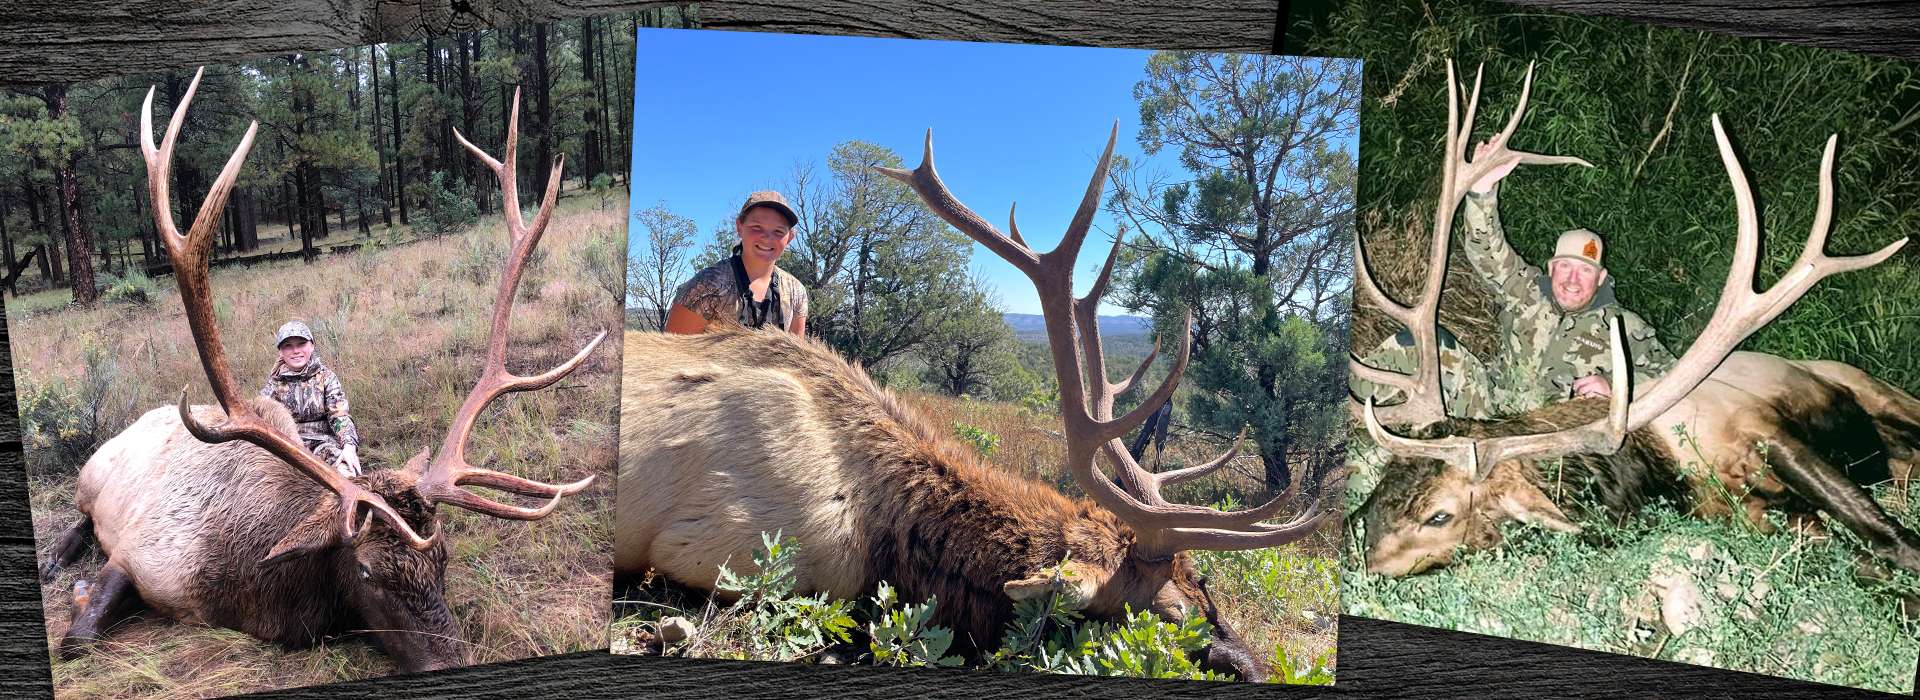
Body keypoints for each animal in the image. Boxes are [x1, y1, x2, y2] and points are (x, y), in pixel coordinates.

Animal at [39, 66, 606, 671]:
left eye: (444, 559)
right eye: (365, 571)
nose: (450, 661)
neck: (248, 592)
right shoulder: (137, 554)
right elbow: (78, 637)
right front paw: (77, 595)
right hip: (90, 479)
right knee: (78, 517)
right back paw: (55, 558)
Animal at [1351, 59, 1920, 575]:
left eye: (1439, 515)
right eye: (1383, 485)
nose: (1360, 557)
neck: (1654, 472)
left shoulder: (1761, 429)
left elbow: (1893, 540)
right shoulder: (1748, 517)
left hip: (1872, 388)